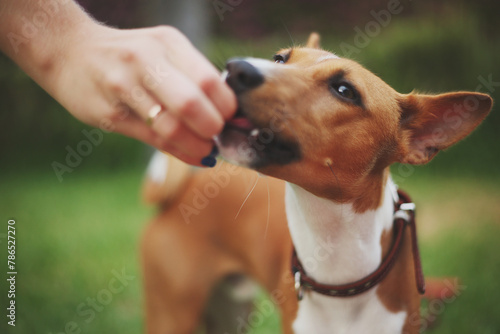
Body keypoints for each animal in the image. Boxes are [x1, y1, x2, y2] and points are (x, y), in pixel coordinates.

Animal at [141, 32, 492, 332]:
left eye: (344, 91)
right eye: (280, 59)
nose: (236, 68)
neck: (337, 274)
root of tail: (183, 191)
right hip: (173, 315)